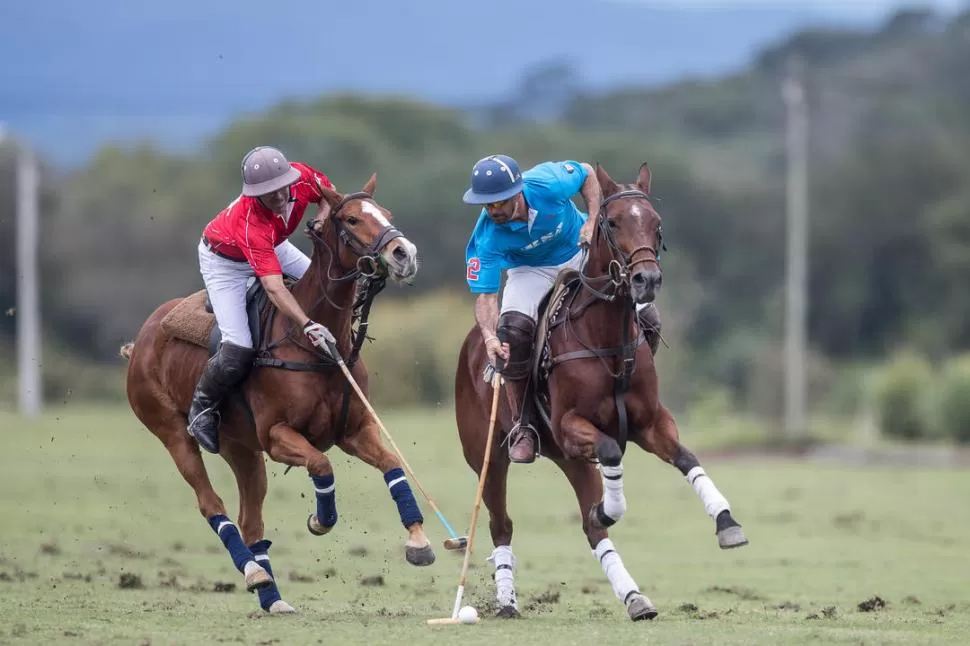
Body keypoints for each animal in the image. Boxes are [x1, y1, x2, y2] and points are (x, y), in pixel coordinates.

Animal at [121, 177, 434, 616]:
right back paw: (253, 572)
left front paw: (419, 542)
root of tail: (143, 337)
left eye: (386, 214)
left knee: (250, 521)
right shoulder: (277, 435)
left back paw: (272, 597)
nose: (405, 254)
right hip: (173, 432)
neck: (320, 350)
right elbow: (321, 465)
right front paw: (320, 520)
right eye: (352, 220)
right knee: (210, 503)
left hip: (240, 448)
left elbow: (392, 465)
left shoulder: (353, 429)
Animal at [454, 161, 748, 624]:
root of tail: (472, 342)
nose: (647, 279)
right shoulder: (571, 426)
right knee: (501, 523)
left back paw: (634, 597)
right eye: (613, 223)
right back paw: (507, 602)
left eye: (656, 223)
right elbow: (611, 453)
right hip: (489, 455)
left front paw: (726, 522)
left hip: (567, 457)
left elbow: (686, 458)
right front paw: (610, 508)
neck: (606, 336)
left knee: (591, 528)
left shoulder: (650, 423)